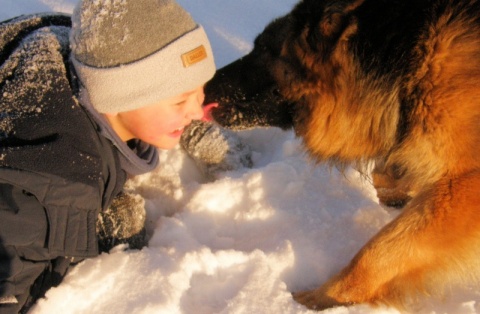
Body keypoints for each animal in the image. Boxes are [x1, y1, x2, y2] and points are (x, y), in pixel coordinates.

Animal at [204, 0, 480, 310]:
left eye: (263, 47)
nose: (203, 87)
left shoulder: (465, 185)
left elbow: (380, 250)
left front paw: (322, 298)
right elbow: (386, 179)